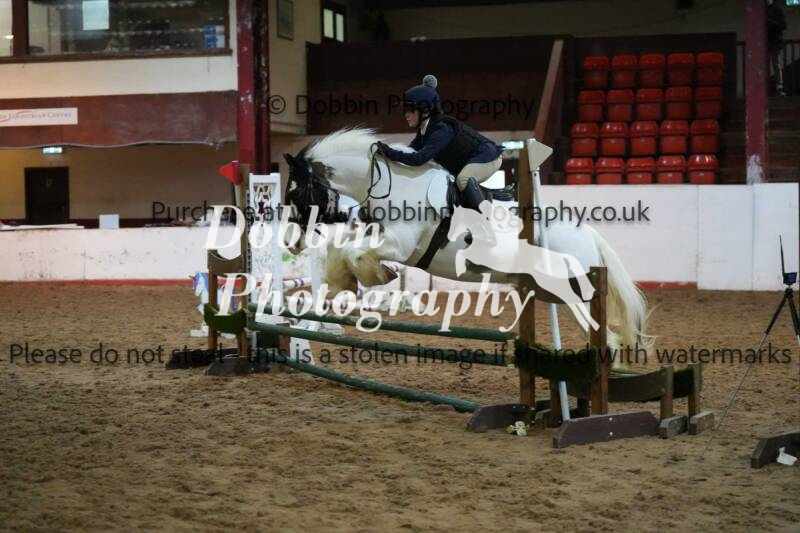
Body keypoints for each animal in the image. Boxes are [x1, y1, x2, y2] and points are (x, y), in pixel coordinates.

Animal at [283, 128, 648, 353]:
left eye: (296, 192)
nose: (288, 241)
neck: (389, 182)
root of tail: (588, 235)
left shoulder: (401, 245)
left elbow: (355, 252)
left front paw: (376, 275)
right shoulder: (380, 234)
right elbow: (343, 247)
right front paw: (344, 280)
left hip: (568, 288)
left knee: (603, 335)